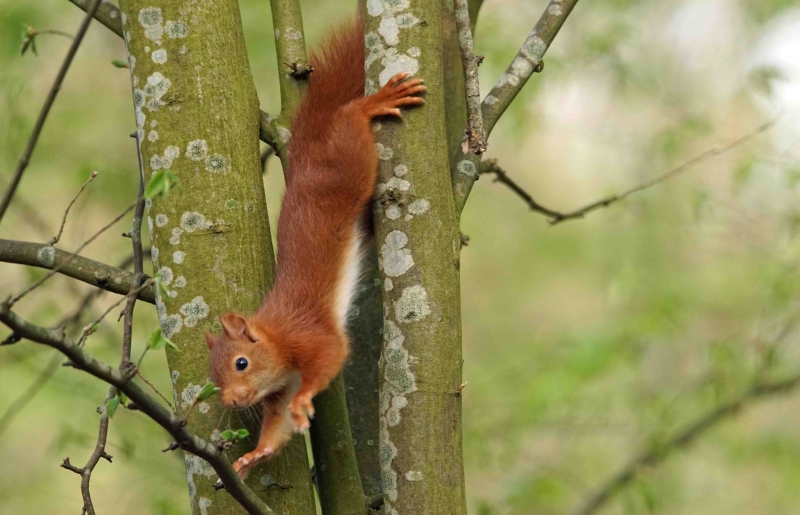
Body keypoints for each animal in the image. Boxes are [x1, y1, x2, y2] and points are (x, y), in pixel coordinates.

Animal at [203, 19, 424, 480]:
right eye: (214, 379)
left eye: (241, 363)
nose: (232, 401)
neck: (276, 345)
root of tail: (305, 156)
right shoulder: (279, 390)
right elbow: (278, 425)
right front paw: (254, 455)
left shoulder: (308, 335)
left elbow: (330, 356)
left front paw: (306, 401)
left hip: (347, 165)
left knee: (348, 119)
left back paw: (373, 103)